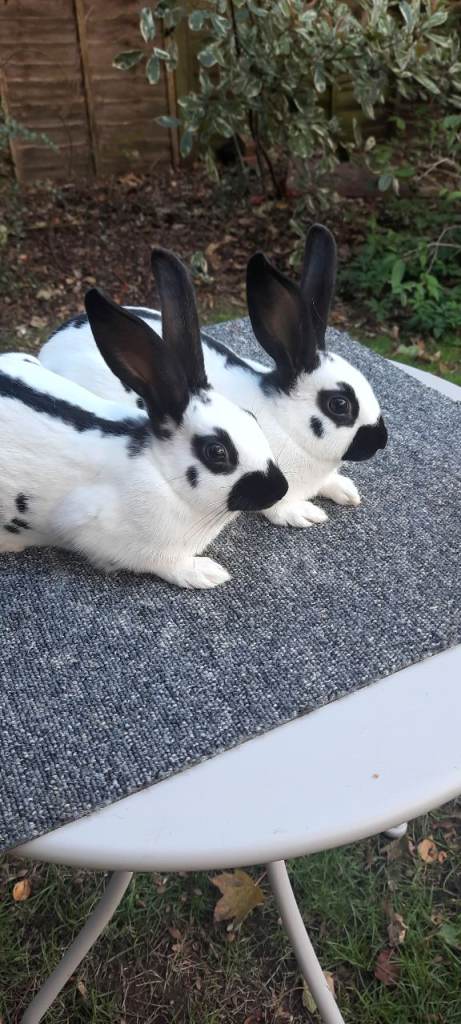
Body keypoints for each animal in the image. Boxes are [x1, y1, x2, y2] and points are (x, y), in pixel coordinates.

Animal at [0, 249, 288, 588]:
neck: (163, 475)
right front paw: (206, 573)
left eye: (251, 416)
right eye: (216, 452)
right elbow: (166, 563)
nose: (280, 488)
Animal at [40, 226, 387, 529]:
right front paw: (303, 513)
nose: (382, 440)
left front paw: (346, 490)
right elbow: (278, 506)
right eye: (339, 404)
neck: (287, 423)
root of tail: (51, 344)